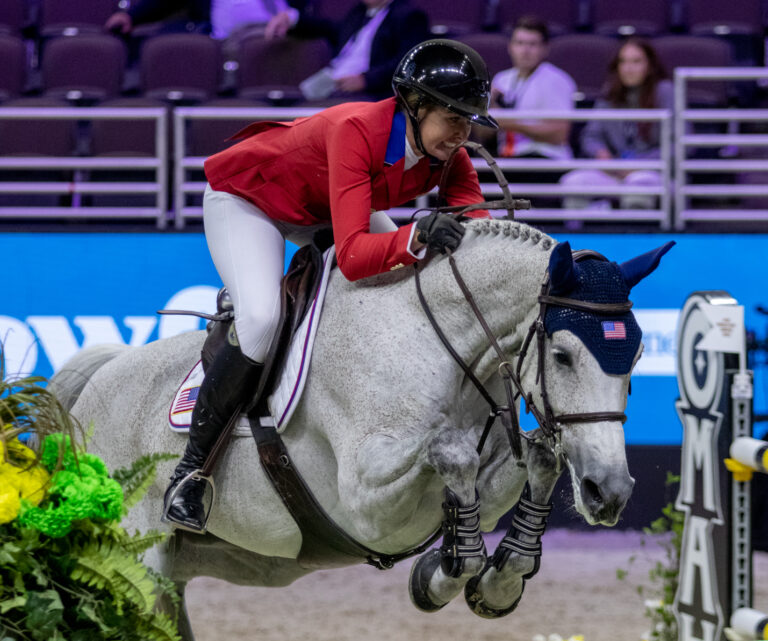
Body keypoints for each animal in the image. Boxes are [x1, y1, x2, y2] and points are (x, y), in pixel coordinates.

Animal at [51, 218, 668, 636]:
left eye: (637, 357)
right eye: (562, 355)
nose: (610, 494)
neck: (436, 339)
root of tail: (96, 384)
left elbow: (531, 464)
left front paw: (493, 577)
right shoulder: (365, 501)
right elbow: (452, 454)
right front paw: (446, 570)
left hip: (181, 569)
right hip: (131, 562)